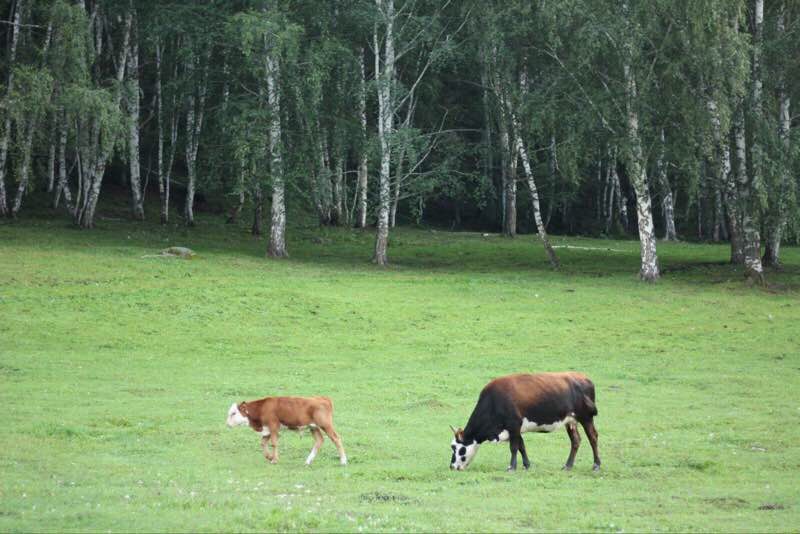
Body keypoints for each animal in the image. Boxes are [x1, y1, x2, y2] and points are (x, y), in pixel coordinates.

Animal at [450, 372, 600, 474]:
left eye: (457, 448)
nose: (452, 466)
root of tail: (583, 377)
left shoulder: (514, 425)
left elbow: (514, 447)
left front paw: (511, 467)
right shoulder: (515, 429)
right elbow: (521, 446)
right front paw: (527, 465)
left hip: (586, 417)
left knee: (592, 437)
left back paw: (596, 465)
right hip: (571, 421)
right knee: (576, 440)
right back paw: (568, 465)